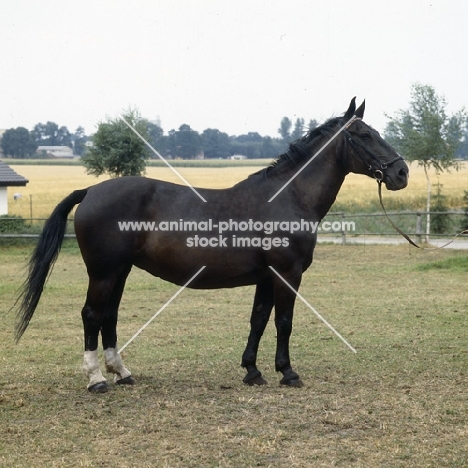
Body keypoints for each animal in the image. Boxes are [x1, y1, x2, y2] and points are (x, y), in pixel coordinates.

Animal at [14, 98, 408, 392]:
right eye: (364, 134)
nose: (401, 172)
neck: (288, 196)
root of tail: (91, 190)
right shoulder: (287, 273)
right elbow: (284, 321)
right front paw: (288, 372)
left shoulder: (266, 277)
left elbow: (258, 319)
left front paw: (252, 371)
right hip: (104, 272)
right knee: (91, 315)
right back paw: (96, 379)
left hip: (120, 272)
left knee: (108, 315)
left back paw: (122, 373)